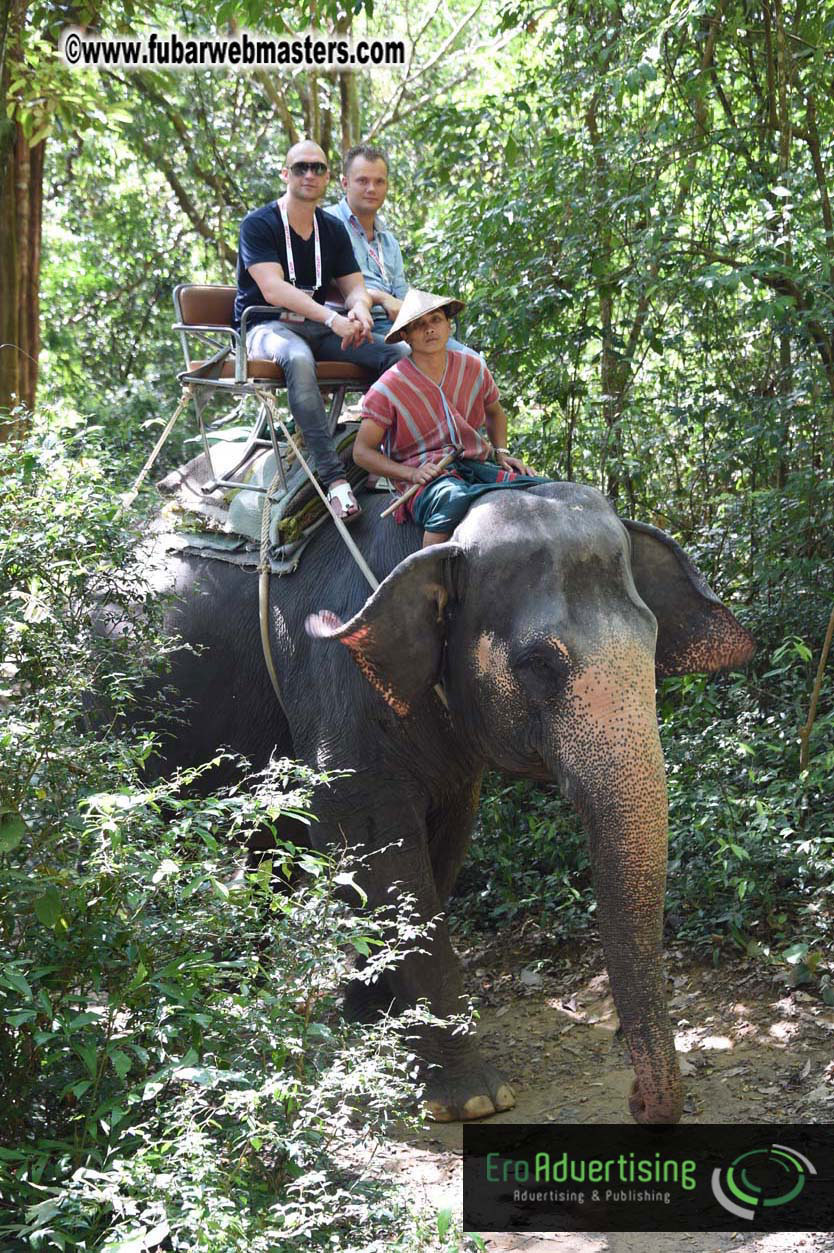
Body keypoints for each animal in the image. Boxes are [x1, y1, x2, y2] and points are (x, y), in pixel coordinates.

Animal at [143, 479, 754, 1124]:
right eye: (539, 665)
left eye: (653, 644)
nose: (638, 1099)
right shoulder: (335, 680)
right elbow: (367, 837)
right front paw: (472, 1100)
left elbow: (439, 842)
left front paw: (372, 1023)